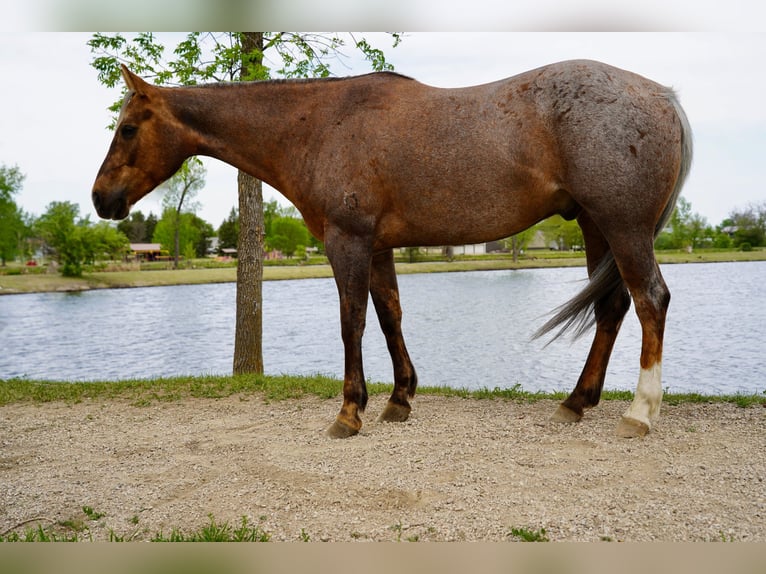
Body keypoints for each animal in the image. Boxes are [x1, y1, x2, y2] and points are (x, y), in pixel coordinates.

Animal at [92, 60, 692, 439]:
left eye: (127, 129)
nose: (101, 199)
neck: (317, 125)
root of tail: (662, 96)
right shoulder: (377, 248)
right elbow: (388, 317)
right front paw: (399, 399)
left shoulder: (347, 242)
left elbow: (351, 322)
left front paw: (348, 412)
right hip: (595, 226)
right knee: (612, 306)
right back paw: (576, 402)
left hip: (623, 227)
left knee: (651, 300)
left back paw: (640, 413)